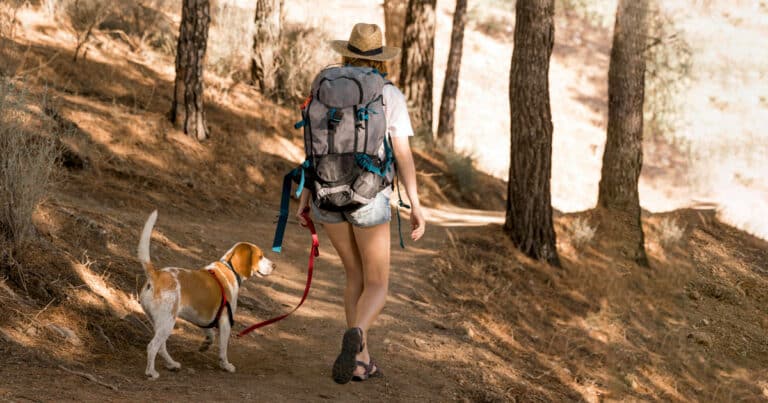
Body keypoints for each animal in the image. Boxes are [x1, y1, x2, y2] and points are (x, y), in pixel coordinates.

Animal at [137, 211, 276, 378]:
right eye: (260, 256)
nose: (274, 265)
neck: (229, 268)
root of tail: (156, 275)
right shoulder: (225, 321)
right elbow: (223, 348)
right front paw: (226, 365)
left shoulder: (204, 318)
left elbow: (210, 334)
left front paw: (205, 345)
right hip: (167, 322)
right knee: (152, 347)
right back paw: (151, 372)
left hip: (160, 323)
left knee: (161, 347)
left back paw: (172, 364)